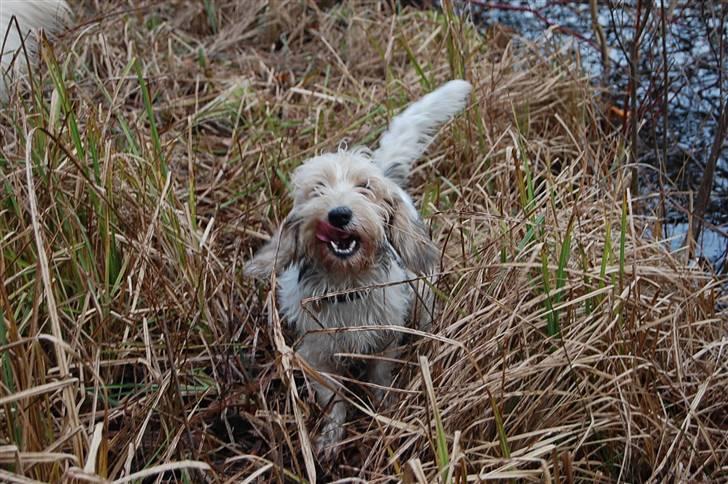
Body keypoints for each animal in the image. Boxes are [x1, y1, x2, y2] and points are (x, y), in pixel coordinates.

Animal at [245, 79, 472, 458]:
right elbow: (334, 400)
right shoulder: (317, 357)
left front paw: (386, 413)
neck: (346, 283)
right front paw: (330, 439)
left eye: (365, 187)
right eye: (317, 189)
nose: (339, 214)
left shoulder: (384, 342)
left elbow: (380, 382)